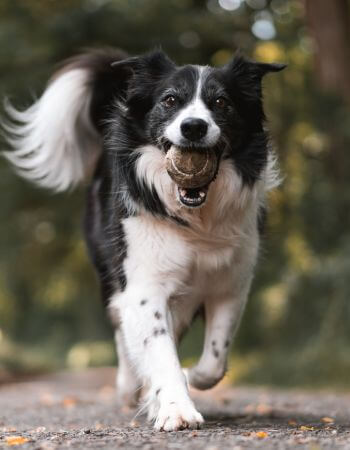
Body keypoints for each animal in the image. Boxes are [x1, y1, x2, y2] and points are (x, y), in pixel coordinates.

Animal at [2, 48, 284, 428]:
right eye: (170, 100)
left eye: (221, 102)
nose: (193, 126)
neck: (196, 219)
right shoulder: (143, 285)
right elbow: (159, 351)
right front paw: (176, 409)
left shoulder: (230, 283)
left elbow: (214, 359)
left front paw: (188, 381)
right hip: (111, 276)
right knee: (123, 332)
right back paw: (129, 388)